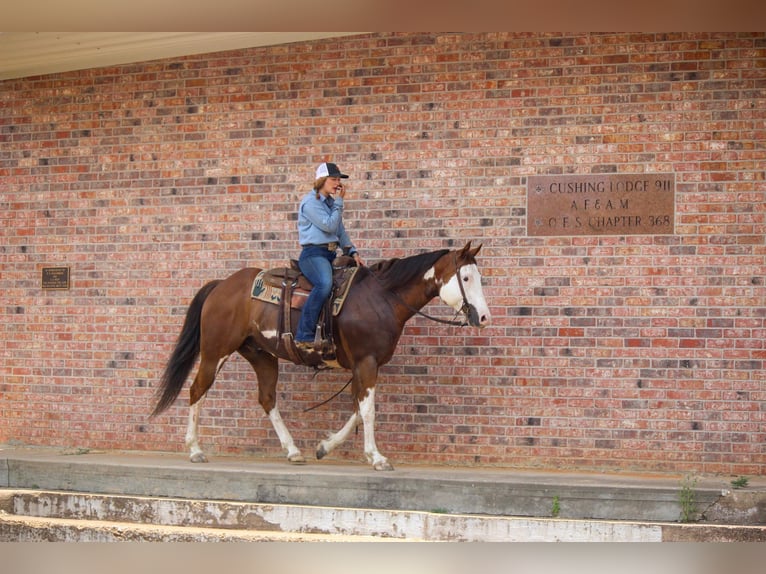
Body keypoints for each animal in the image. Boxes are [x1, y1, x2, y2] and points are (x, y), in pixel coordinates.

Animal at [152, 241, 492, 470]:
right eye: (465, 279)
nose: (484, 317)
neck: (381, 298)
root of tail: (221, 285)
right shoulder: (366, 362)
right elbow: (368, 411)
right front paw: (377, 457)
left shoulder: (361, 366)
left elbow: (358, 410)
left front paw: (325, 447)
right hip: (216, 350)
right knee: (198, 389)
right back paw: (195, 449)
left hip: (262, 355)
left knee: (267, 399)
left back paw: (293, 451)